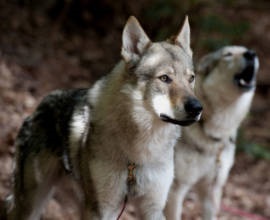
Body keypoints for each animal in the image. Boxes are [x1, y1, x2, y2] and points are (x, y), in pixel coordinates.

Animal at [8, 15, 201, 220]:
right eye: (164, 78)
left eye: (191, 78)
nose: (197, 108)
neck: (139, 153)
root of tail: (40, 104)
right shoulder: (102, 209)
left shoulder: (153, 208)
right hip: (32, 204)